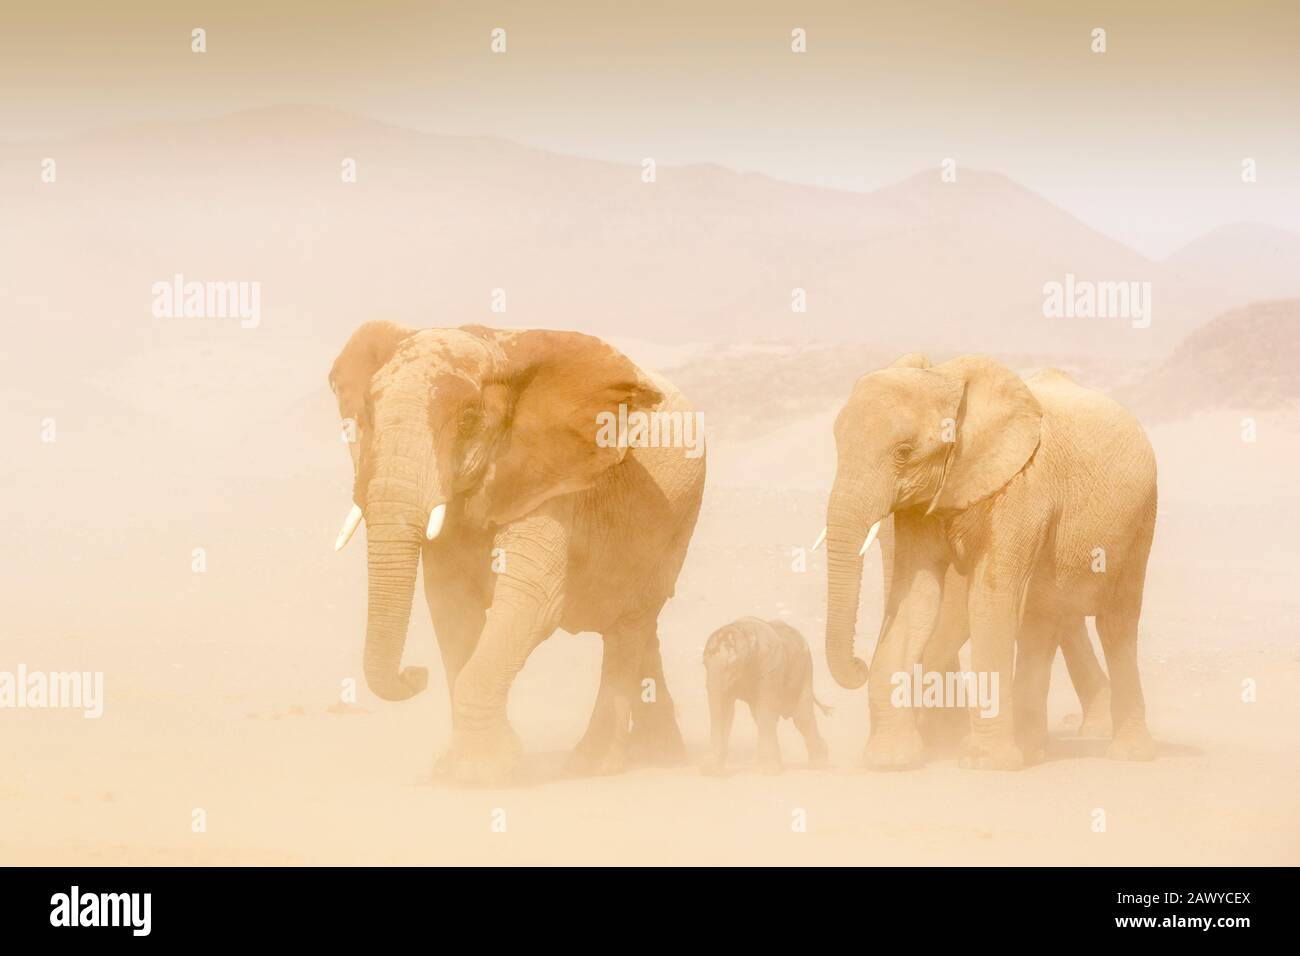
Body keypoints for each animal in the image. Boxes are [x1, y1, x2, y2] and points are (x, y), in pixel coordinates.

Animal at [328, 321, 706, 784]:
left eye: (468, 418)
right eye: (366, 413)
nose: (416, 673)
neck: (496, 349)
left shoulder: (553, 476)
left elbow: (532, 599)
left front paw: (482, 772)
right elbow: (451, 604)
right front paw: (456, 769)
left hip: (672, 521)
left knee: (629, 624)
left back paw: (594, 764)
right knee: (641, 628)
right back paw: (660, 756)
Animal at [702, 618, 829, 775]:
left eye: (733, 665)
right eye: (704, 663)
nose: (710, 768)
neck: (744, 630)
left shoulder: (771, 666)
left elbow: (765, 707)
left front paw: (768, 770)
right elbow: (726, 708)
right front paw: (713, 770)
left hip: (806, 668)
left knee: (801, 717)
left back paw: (819, 763)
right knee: (762, 716)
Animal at [824, 353, 1157, 770]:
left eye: (903, 452)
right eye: (837, 444)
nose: (858, 665)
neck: (947, 380)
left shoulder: (1020, 489)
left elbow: (989, 601)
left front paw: (985, 762)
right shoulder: (924, 504)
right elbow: (916, 601)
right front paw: (890, 761)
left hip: (1140, 522)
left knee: (1115, 624)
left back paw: (1128, 754)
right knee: (1042, 621)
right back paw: (1032, 751)